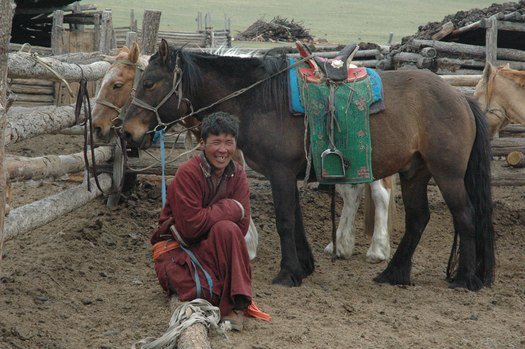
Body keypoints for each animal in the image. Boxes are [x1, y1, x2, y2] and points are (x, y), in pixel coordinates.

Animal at [121, 38, 494, 290]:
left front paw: (287, 273)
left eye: (149, 83)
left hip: (447, 173)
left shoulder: (280, 172)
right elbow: (296, 219)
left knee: (464, 215)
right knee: (418, 219)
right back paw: (394, 273)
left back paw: (463, 278)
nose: (127, 132)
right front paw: (304, 265)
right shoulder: (287, 173)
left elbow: (285, 220)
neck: (258, 98)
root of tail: (460, 98)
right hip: (415, 172)